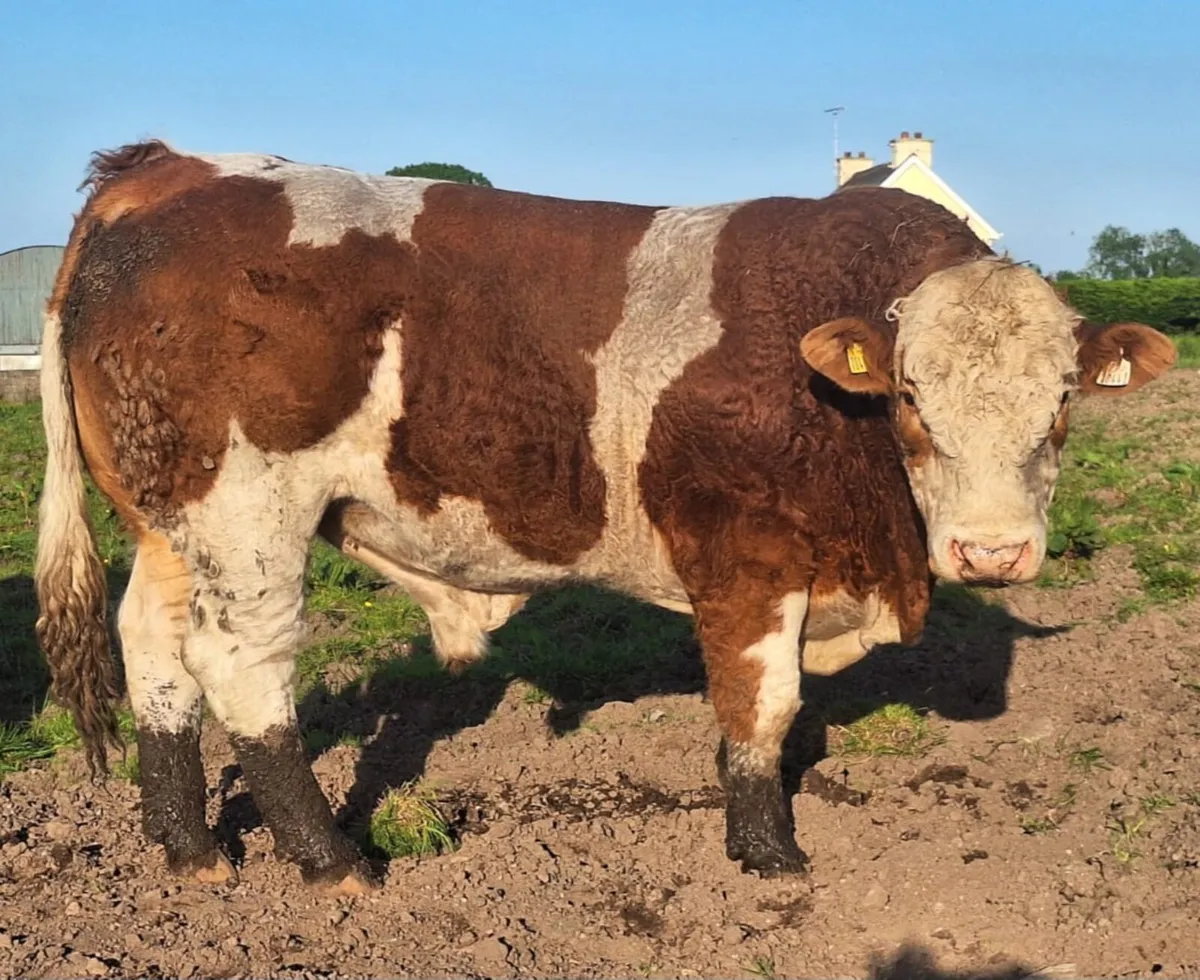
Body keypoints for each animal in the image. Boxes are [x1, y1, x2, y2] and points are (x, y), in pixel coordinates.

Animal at [34, 140, 1175, 895]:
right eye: (909, 396)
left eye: (1062, 400)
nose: (994, 549)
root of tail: (166, 168)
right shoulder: (748, 561)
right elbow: (761, 708)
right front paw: (768, 852)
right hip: (248, 514)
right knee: (244, 667)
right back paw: (331, 859)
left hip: (168, 521)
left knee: (156, 650)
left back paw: (188, 847)